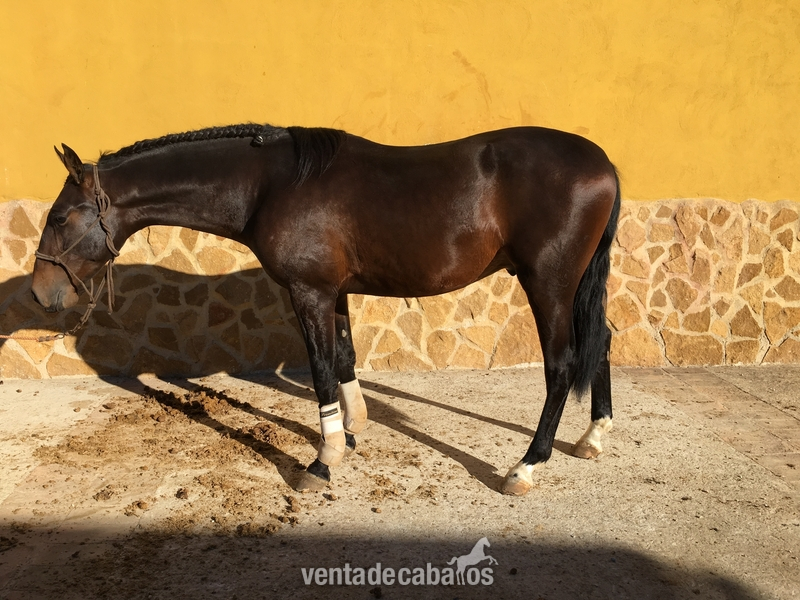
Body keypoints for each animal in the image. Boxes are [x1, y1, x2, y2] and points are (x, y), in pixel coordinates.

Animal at [31, 123, 620, 496]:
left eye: (60, 217)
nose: (40, 293)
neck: (268, 185)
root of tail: (604, 164)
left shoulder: (309, 292)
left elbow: (318, 370)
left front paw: (323, 459)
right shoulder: (335, 292)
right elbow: (343, 358)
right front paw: (353, 432)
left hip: (549, 283)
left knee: (562, 365)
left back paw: (525, 467)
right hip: (580, 285)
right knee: (602, 343)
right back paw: (593, 438)